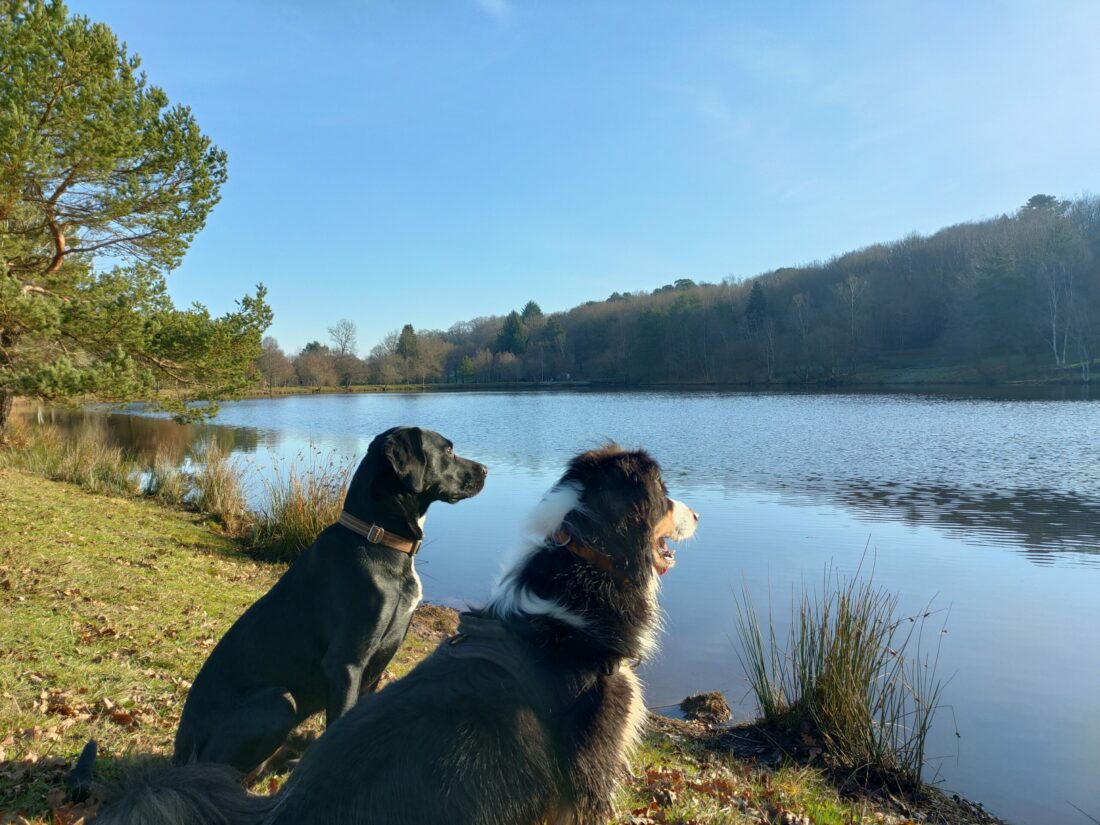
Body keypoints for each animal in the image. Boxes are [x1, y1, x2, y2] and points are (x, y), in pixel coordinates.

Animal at [169, 429, 484, 778]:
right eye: (448, 450)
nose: (485, 470)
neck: (377, 538)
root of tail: (181, 753)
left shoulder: (375, 668)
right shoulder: (347, 665)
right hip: (278, 702)